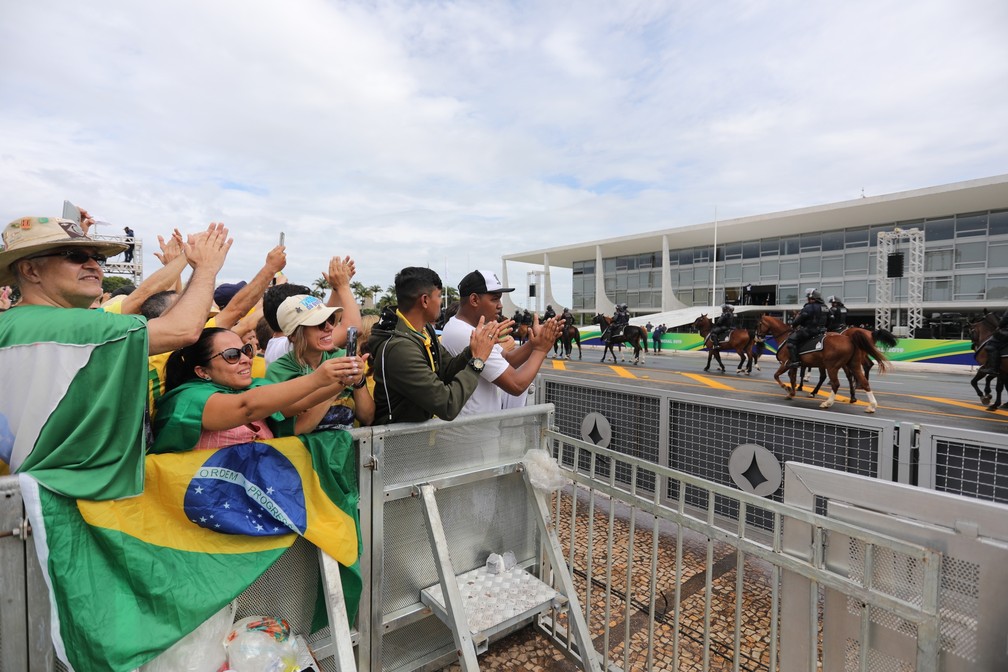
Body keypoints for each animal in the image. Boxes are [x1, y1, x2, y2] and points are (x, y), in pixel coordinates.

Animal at [758, 316, 891, 415]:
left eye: (759, 323)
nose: (758, 336)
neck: (785, 337)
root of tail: (849, 339)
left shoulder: (786, 364)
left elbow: (777, 376)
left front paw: (788, 389)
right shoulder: (794, 365)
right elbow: (792, 378)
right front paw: (792, 392)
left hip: (832, 367)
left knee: (836, 383)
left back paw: (827, 402)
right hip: (853, 365)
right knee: (864, 381)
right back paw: (870, 405)